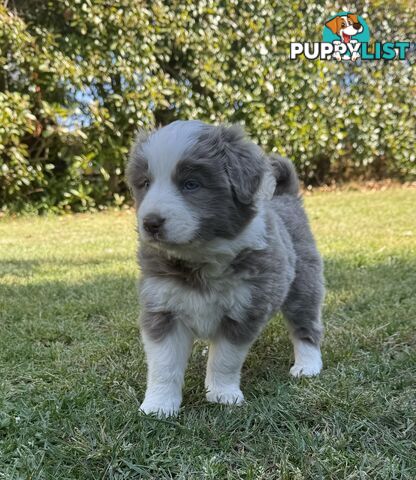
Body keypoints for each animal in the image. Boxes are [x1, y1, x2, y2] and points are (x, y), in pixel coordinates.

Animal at [127, 122, 324, 418]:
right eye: (145, 184)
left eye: (191, 184)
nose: (150, 223)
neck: (200, 258)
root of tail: (286, 198)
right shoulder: (162, 308)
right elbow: (164, 366)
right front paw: (159, 406)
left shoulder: (244, 311)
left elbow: (225, 360)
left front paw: (222, 395)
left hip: (304, 284)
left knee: (306, 325)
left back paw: (308, 366)